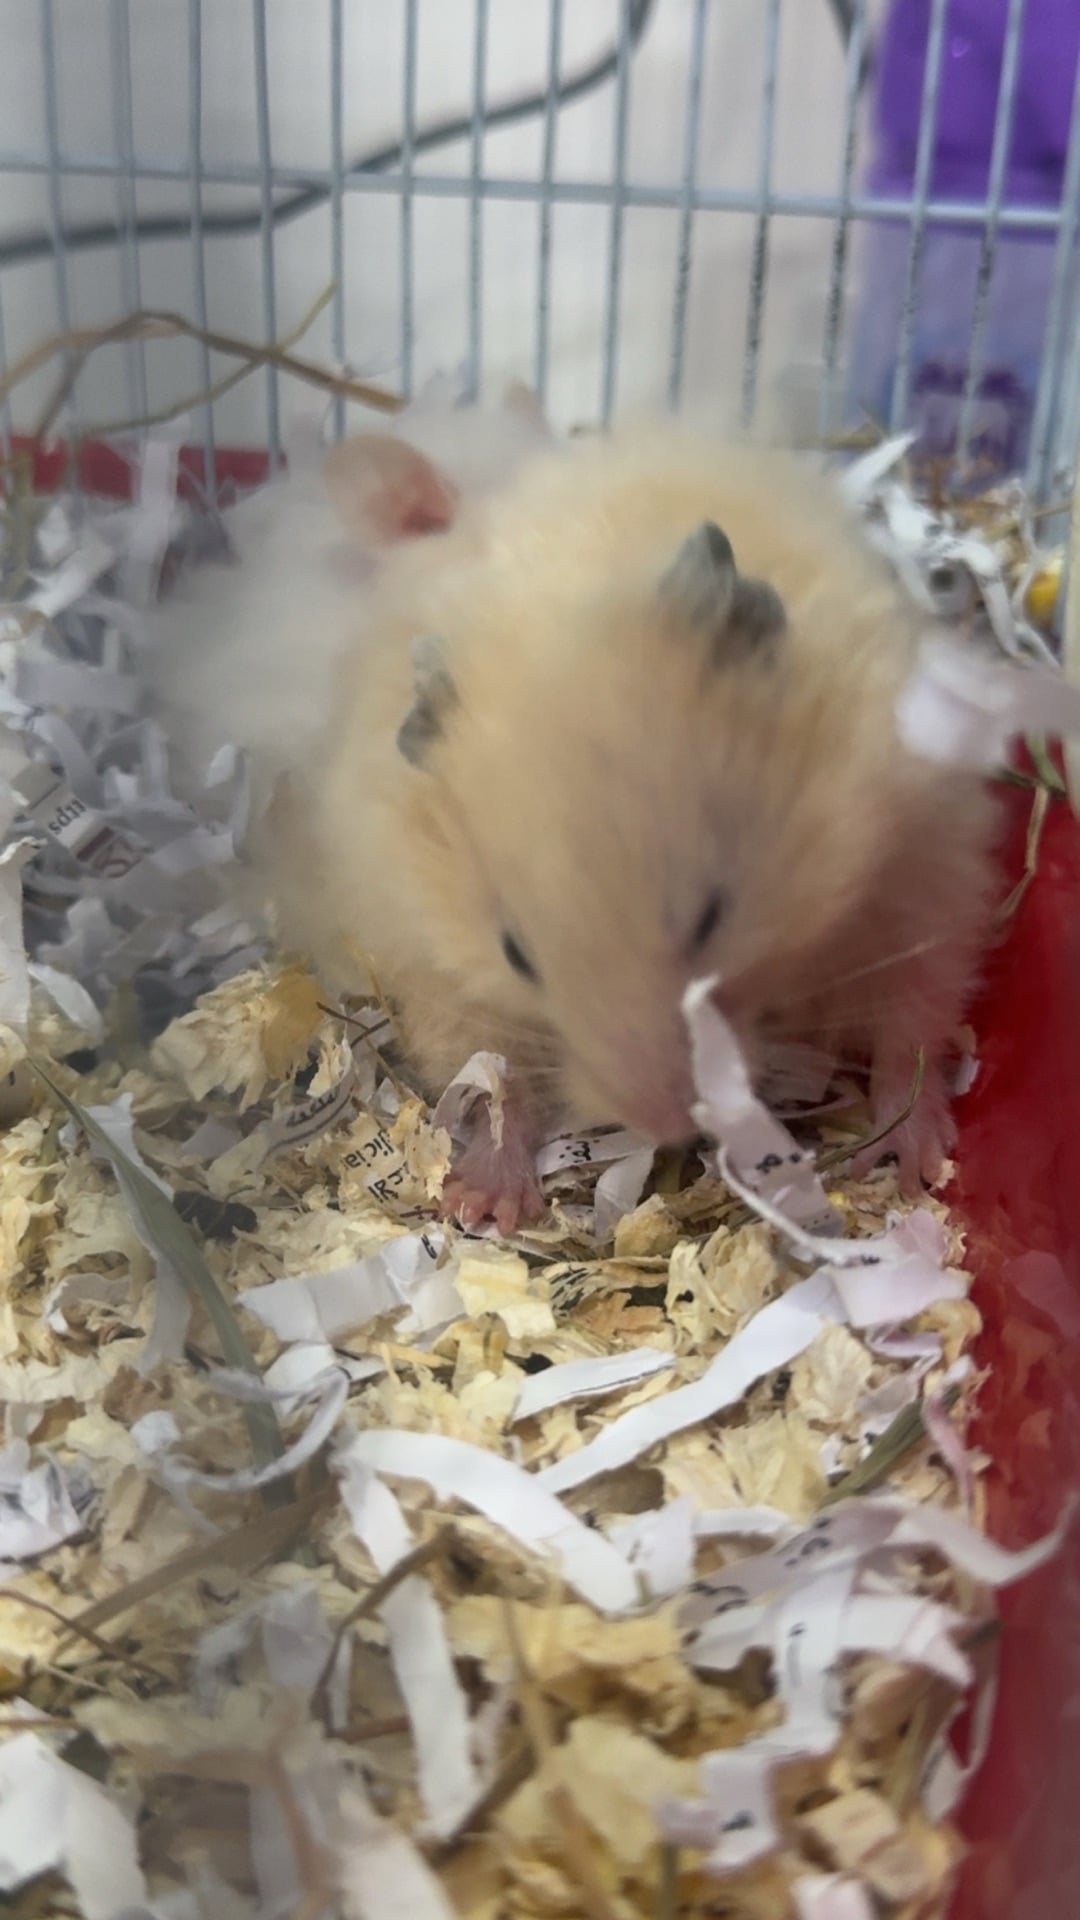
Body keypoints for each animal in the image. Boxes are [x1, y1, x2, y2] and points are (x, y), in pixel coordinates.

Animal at [155, 414, 999, 1234]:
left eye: (713, 915)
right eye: (516, 954)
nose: (668, 1125)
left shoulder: (924, 860)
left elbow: (913, 1022)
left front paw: (913, 1163)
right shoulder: (423, 954)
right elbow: (489, 1076)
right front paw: (487, 1203)